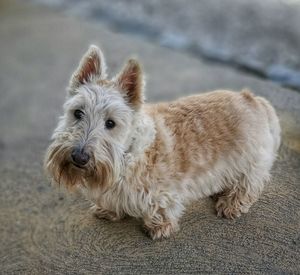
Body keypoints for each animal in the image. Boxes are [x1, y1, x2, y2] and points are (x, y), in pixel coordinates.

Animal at [44, 44, 282, 239]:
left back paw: (231, 204)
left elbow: (160, 210)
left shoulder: (163, 193)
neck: (129, 154)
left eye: (110, 123)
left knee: (248, 185)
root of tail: (253, 99)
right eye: (78, 113)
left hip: (250, 161)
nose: (79, 157)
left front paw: (159, 228)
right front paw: (109, 210)